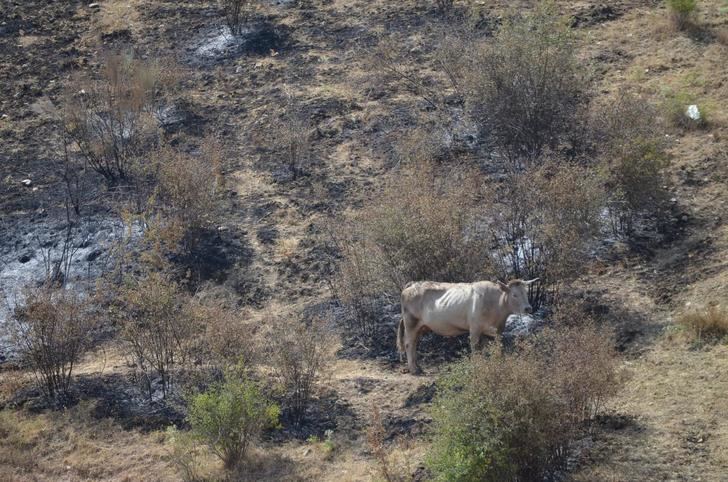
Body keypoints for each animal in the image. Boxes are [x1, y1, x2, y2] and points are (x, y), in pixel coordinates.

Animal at [396, 278, 536, 376]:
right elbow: (475, 348)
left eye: (526, 293)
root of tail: (413, 284)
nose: (528, 308)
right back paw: (414, 369)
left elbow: (494, 347)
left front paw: (496, 362)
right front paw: (477, 366)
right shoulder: (475, 329)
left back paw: (417, 366)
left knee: (414, 343)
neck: (496, 305)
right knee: (409, 344)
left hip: (420, 326)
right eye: (514, 295)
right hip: (411, 323)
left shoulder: (497, 331)